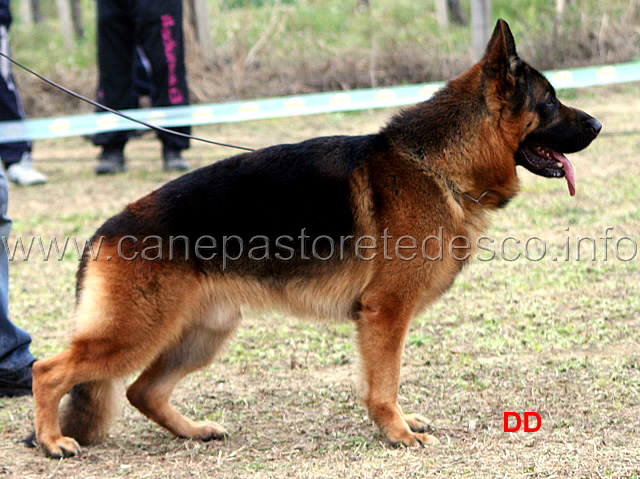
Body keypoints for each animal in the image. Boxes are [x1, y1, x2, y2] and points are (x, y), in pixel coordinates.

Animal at [30, 20, 600, 460]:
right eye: (551, 102)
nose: (597, 124)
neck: (435, 163)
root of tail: (104, 230)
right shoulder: (385, 312)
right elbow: (385, 382)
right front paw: (397, 433)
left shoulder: (377, 318)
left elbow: (378, 382)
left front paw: (397, 426)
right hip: (136, 332)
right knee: (49, 369)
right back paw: (53, 441)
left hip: (202, 333)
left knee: (141, 390)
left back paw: (193, 431)